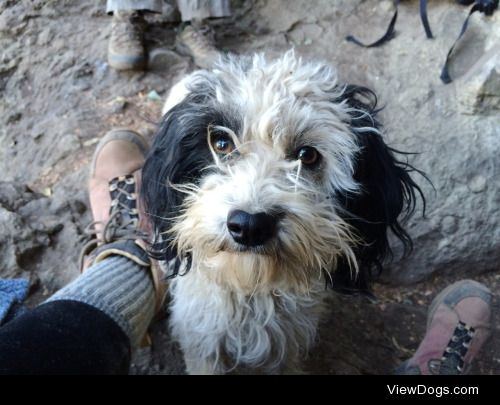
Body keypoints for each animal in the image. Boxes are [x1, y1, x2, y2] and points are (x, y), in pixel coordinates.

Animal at [143, 52, 424, 374]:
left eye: (307, 155)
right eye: (221, 143)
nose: (250, 225)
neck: (252, 291)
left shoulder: (286, 347)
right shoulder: (202, 342)